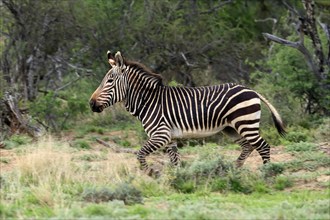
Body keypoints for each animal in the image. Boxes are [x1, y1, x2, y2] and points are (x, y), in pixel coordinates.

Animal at [89, 50, 284, 173]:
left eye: (110, 81)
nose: (91, 104)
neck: (148, 101)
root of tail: (251, 90)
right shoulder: (170, 138)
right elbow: (175, 161)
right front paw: (177, 179)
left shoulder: (161, 135)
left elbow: (140, 153)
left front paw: (151, 173)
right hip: (231, 128)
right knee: (247, 146)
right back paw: (234, 170)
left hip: (245, 123)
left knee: (263, 146)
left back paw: (267, 174)